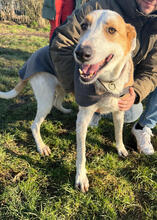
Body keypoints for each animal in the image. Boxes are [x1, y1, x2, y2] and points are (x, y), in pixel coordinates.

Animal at [0, 9, 136, 192]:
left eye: (112, 30)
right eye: (84, 26)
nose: (80, 53)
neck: (107, 82)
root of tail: (31, 59)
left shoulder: (119, 111)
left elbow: (118, 132)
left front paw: (120, 148)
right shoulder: (83, 119)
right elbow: (81, 154)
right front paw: (81, 178)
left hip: (62, 86)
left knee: (57, 102)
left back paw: (65, 110)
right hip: (45, 98)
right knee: (35, 124)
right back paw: (41, 146)